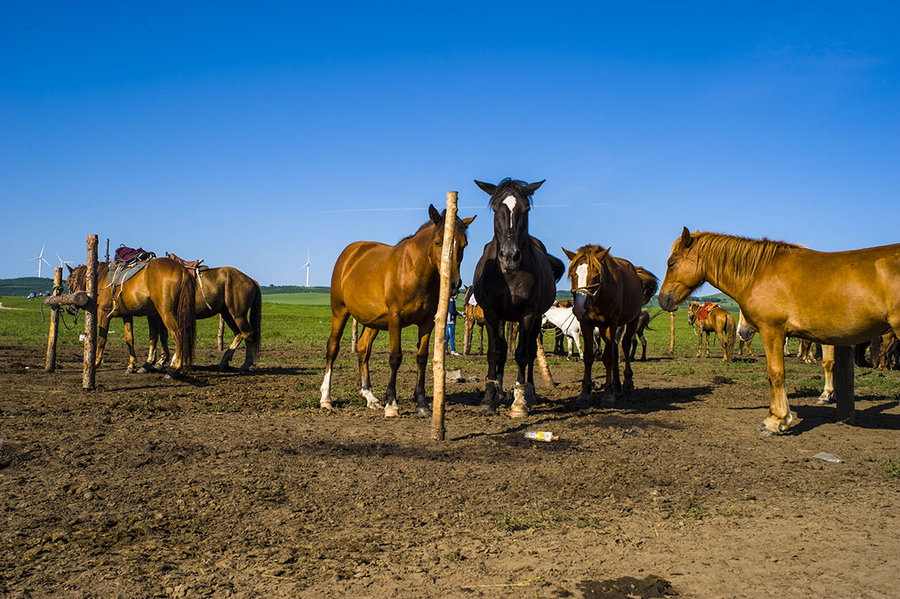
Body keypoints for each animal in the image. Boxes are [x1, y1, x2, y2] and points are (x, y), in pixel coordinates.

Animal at [67, 260, 198, 378]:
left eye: (69, 284)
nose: (69, 309)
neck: (100, 279)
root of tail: (181, 269)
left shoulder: (103, 314)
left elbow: (101, 340)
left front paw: (95, 363)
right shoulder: (127, 315)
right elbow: (129, 339)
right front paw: (131, 366)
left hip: (166, 313)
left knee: (179, 336)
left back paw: (174, 369)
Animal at [320, 206, 474, 418]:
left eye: (464, 245)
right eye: (438, 242)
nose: (453, 284)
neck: (413, 271)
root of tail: (351, 253)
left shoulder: (427, 322)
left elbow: (421, 358)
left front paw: (422, 404)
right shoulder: (395, 319)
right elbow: (395, 358)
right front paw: (392, 404)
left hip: (373, 321)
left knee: (363, 349)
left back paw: (370, 397)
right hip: (340, 311)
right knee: (333, 348)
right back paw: (326, 398)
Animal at [472, 178, 564, 418]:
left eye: (526, 208)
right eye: (496, 209)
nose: (509, 256)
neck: (508, 275)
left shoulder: (529, 314)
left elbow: (522, 354)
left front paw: (520, 402)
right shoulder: (491, 313)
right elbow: (495, 353)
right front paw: (488, 399)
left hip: (536, 318)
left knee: (530, 351)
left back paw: (528, 392)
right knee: (503, 350)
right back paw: (501, 392)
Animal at [564, 245, 660, 408]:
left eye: (596, 275)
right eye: (572, 274)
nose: (579, 308)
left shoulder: (612, 324)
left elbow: (608, 358)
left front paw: (608, 395)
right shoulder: (586, 324)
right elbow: (589, 356)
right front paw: (585, 393)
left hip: (632, 320)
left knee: (625, 345)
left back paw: (627, 384)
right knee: (615, 348)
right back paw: (617, 386)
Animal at [652, 227, 900, 434]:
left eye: (671, 263)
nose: (663, 299)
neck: (759, 272)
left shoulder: (773, 332)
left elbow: (776, 374)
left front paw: (776, 420)